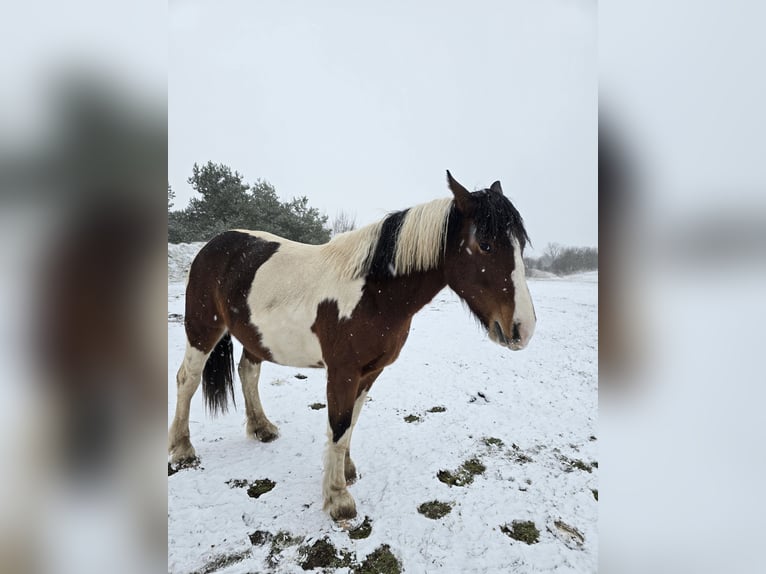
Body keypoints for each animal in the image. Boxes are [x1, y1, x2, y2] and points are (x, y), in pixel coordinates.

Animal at [170, 171, 536, 520]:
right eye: (485, 244)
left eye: (520, 245)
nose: (523, 328)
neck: (372, 293)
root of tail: (214, 244)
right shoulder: (342, 372)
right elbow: (340, 423)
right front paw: (338, 498)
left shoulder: (370, 372)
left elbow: (352, 421)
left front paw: (346, 472)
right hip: (202, 328)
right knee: (187, 378)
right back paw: (182, 448)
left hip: (254, 338)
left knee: (248, 372)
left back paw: (261, 428)